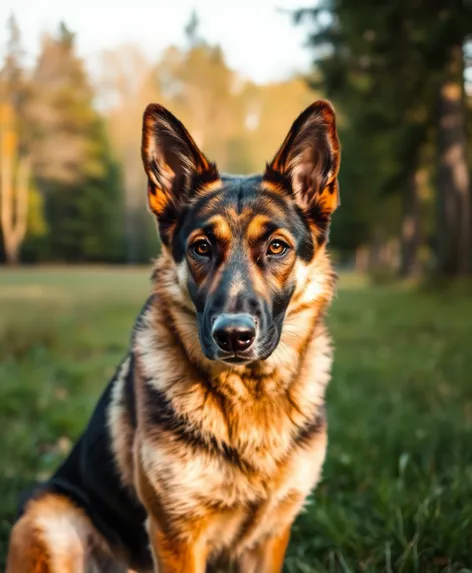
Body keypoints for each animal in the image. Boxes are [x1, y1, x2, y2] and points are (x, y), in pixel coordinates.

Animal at [5, 98, 342, 572]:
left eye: (277, 247)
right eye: (201, 247)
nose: (233, 336)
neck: (248, 397)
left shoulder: (271, 535)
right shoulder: (176, 535)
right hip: (53, 520)